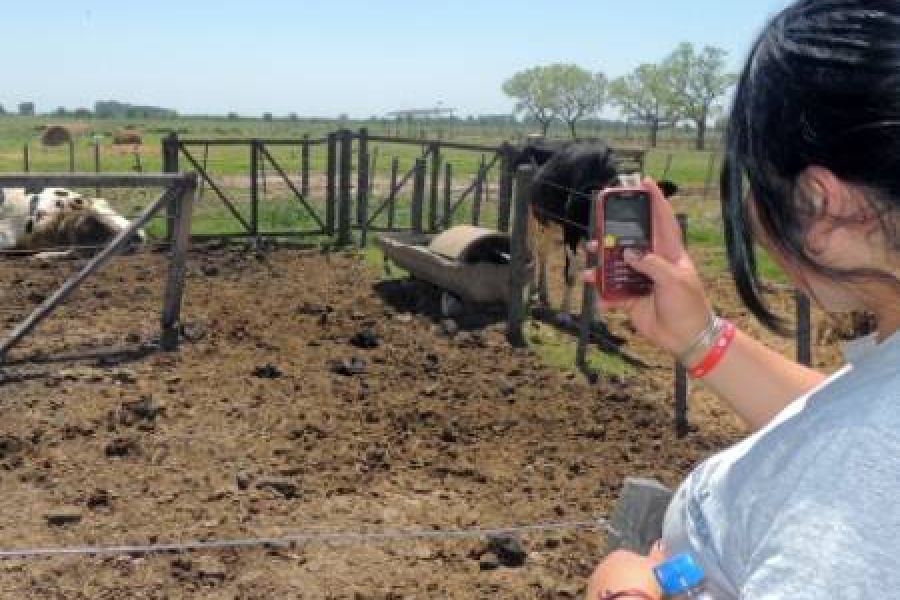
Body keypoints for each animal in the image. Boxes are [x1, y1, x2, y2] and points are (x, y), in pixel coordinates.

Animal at [512, 139, 676, 322]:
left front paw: (595, 315)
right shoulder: (571, 232)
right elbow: (571, 272)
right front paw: (564, 313)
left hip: (551, 222)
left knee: (544, 252)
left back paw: (543, 293)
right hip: (531, 216)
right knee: (534, 249)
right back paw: (533, 291)